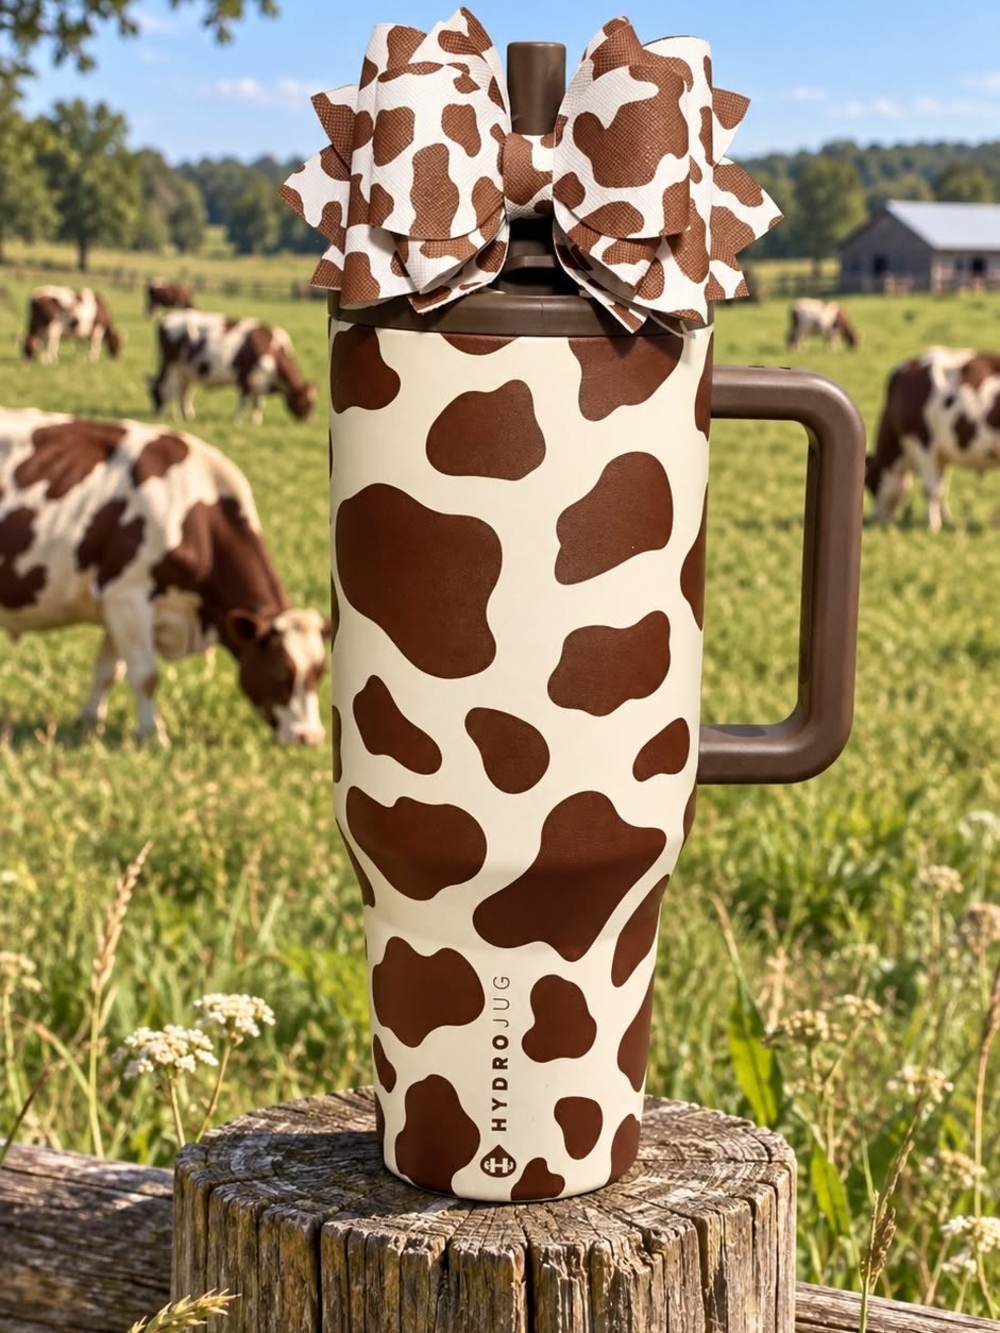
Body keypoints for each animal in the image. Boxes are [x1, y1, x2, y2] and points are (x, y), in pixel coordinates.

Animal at [0, 408, 331, 744]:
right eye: (280, 670)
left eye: (321, 671)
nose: (309, 736)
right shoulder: (128, 596)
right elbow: (146, 675)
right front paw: (152, 734)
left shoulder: (116, 606)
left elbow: (108, 671)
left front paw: (90, 721)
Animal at [149, 310, 318, 424]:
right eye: (305, 402)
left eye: (313, 403)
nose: (309, 421)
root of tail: (166, 318)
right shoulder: (246, 377)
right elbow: (244, 401)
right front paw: (237, 420)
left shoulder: (261, 381)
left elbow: (258, 402)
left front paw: (256, 421)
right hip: (172, 366)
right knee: (169, 389)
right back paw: (171, 416)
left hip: (186, 371)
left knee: (184, 392)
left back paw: (188, 416)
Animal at [865, 347, 1000, 531]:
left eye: (870, 483)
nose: (876, 519)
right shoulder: (941, 453)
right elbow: (942, 488)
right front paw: (947, 521)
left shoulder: (923, 443)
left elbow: (931, 489)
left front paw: (932, 525)